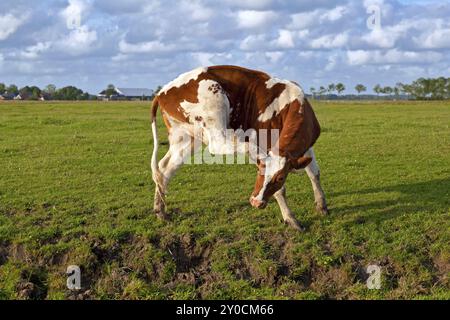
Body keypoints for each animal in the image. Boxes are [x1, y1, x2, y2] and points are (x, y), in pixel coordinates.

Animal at [149, 65, 328, 230]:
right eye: (258, 172)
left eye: (281, 177)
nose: (255, 202)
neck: (290, 103)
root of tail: (162, 92)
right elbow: (281, 190)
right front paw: (290, 218)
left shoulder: (305, 147)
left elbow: (314, 173)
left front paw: (322, 205)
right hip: (215, 106)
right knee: (219, 145)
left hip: (186, 138)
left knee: (164, 169)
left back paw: (160, 211)